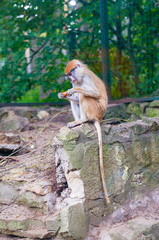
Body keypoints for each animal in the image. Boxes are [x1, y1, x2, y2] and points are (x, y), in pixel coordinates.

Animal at [57, 59, 110, 204]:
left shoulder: (86, 78)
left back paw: (82, 120)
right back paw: (76, 122)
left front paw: (75, 89)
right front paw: (62, 95)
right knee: (77, 100)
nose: (71, 79)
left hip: (95, 109)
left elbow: (92, 93)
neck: (80, 78)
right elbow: (73, 98)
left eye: (70, 73)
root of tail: (99, 118)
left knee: (84, 96)